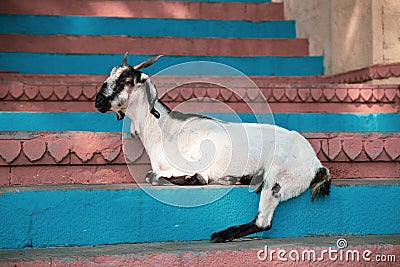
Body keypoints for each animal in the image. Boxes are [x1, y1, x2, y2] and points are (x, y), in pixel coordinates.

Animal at [94, 53, 332, 244]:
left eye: (126, 80)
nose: (98, 102)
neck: (164, 130)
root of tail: (317, 165)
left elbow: (152, 176)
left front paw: (192, 179)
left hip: (278, 178)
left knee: (263, 222)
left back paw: (221, 234)